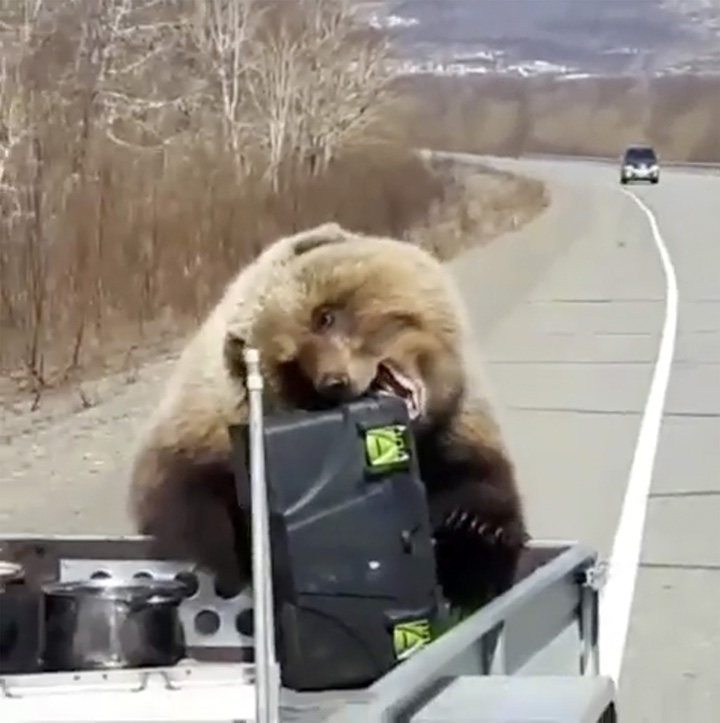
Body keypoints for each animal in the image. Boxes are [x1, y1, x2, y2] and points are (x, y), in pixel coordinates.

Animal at [128, 223, 528, 608]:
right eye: (291, 363)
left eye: (324, 317)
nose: (334, 381)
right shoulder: (203, 445)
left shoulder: (460, 429)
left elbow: (481, 500)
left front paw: (472, 530)